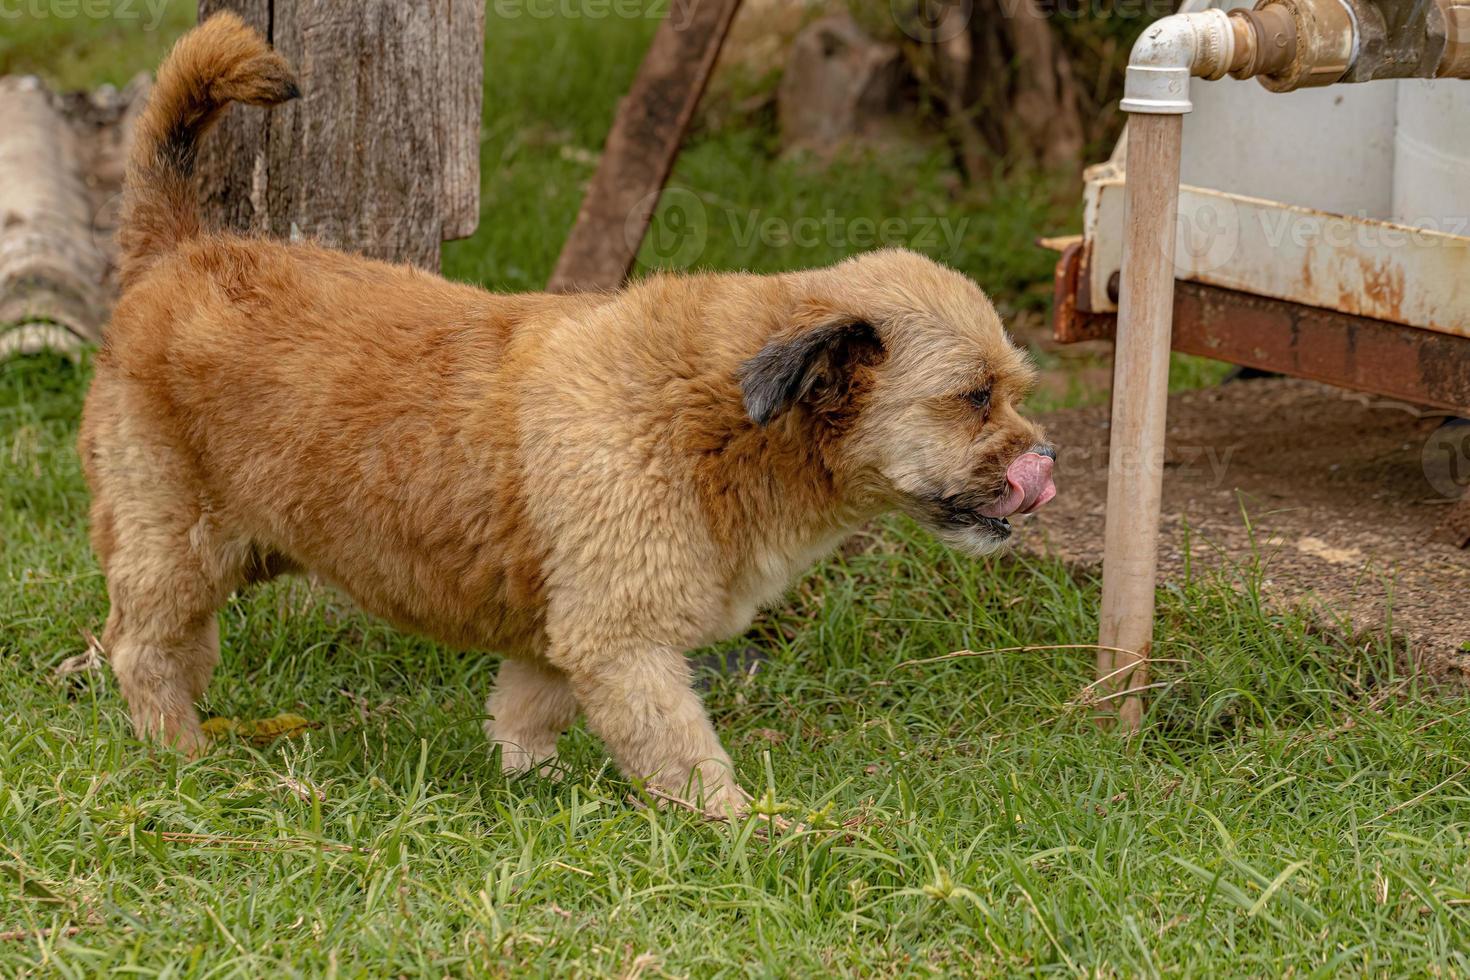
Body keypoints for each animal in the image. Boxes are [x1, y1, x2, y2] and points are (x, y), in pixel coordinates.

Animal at [80, 15, 1058, 816]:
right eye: (974, 397)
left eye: (1015, 391)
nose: (1044, 460)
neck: (723, 419)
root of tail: (178, 250)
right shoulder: (625, 643)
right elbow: (686, 757)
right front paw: (753, 831)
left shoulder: (562, 636)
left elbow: (525, 713)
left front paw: (538, 786)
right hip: (174, 546)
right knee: (141, 649)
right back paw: (181, 752)